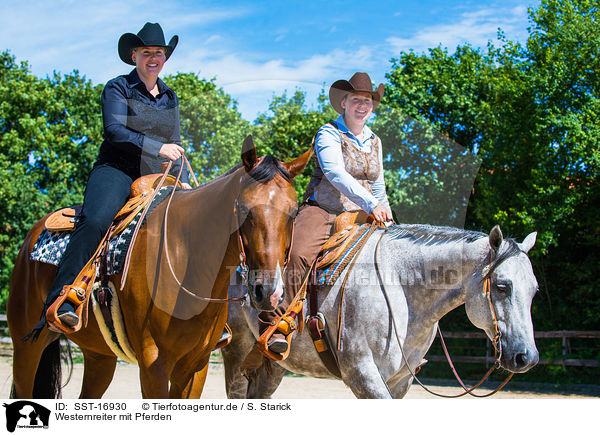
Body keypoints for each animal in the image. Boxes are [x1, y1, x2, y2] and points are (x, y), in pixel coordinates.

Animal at [7, 138, 312, 400]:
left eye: (293, 213)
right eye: (244, 209)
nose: (269, 291)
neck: (187, 257)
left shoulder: (196, 366)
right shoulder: (153, 362)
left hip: (99, 356)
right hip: (26, 346)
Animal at [220, 225, 540, 398]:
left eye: (535, 290)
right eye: (502, 286)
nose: (527, 357)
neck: (400, 284)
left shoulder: (400, 380)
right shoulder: (363, 374)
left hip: (273, 365)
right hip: (236, 350)